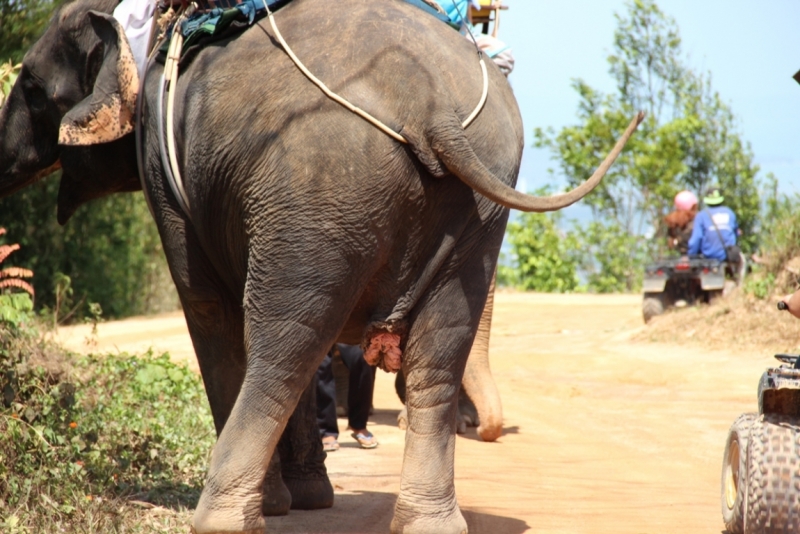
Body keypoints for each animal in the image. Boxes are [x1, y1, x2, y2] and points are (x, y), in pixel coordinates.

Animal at [0, 0, 644, 532]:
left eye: (30, 85)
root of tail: (430, 104)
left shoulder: (167, 172)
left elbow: (208, 308)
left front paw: (288, 503)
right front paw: (310, 499)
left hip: (317, 187)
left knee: (281, 343)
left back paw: (226, 519)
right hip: (477, 204)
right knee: (435, 351)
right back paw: (429, 524)